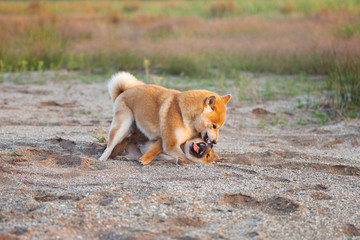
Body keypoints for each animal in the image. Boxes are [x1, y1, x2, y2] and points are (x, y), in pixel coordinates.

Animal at [99, 72, 231, 164]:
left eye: (220, 127)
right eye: (214, 126)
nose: (214, 142)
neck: (184, 114)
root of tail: (123, 92)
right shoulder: (170, 144)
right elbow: (186, 158)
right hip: (122, 127)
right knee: (109, 146)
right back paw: (102, 159)